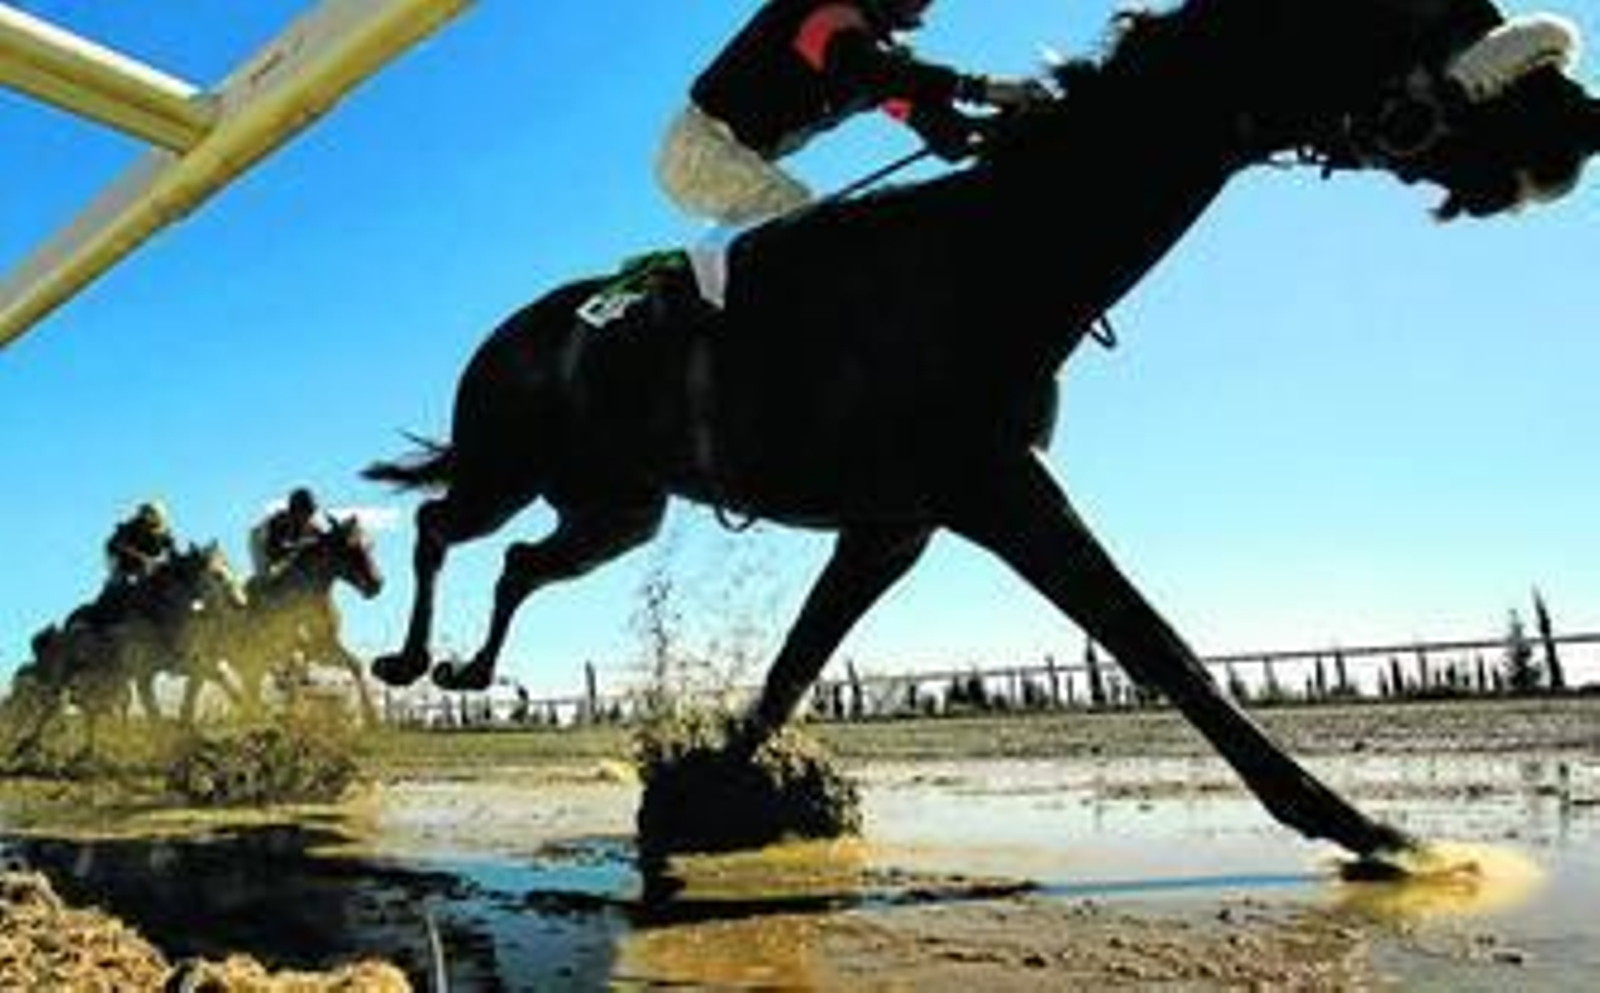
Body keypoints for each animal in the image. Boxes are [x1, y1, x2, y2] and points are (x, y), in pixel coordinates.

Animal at [220, 515, 384, 724]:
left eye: (370, 545)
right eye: (351, 547)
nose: (376, 584)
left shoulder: (323, 645)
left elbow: (355, 664)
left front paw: (372, 717)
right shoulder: (300, 647)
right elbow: (295, 674)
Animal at [363, 0, 1599, 862]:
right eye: (1419, 14)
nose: (1576, 122)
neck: (996, 258)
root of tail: (504, 333)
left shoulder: (895, 522)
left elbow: (795, 663)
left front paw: (712, 789)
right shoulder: (994, 487)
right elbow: (1156, 643)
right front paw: (1370, 831)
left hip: (616, 509)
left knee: (519, 562)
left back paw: (467, 665)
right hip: (511, 465)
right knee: (436, 525)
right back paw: (413, 656)